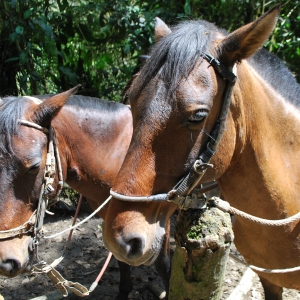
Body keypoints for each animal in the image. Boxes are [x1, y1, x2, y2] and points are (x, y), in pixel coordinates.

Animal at [0, 89, 169, 300]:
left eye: (34, 166)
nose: (6, 262)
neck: (118, 153)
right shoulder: (112, 218)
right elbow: (120, 256)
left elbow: (162, 263)